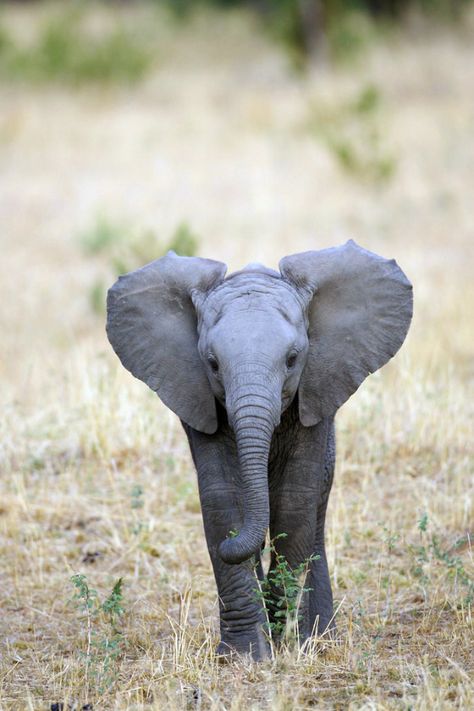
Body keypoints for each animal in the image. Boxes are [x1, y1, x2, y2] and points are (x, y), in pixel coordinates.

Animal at [106, 241, 412, 660]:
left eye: (293, 359)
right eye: (212, 364)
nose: (233, 547)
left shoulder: (315, 393)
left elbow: (294, 502)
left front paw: (287, 643)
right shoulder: (198, 399)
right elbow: (222, 499)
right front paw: (245, 656)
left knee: (315, 516)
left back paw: (317, 638)